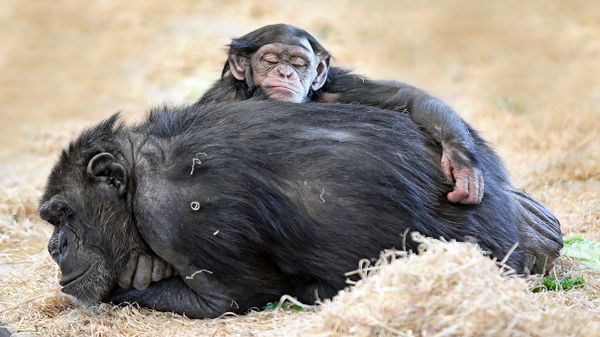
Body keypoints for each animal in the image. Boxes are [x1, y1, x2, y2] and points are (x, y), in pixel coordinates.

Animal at [39, 101, 556, 316]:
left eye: (64, 214)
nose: (54, 246)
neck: (139, 173)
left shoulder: (175, 216)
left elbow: (227, 298)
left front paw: (141, 274)